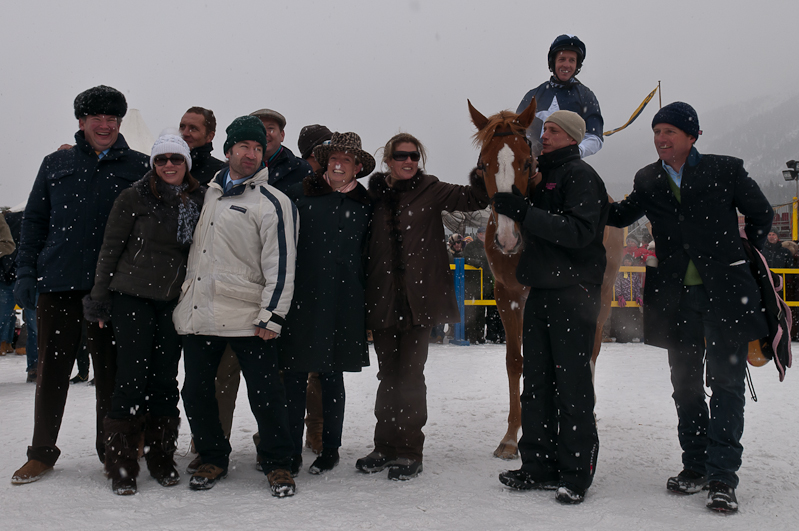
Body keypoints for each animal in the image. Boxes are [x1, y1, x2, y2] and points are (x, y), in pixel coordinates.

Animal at [468, 97, 624, 460]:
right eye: (484, 164)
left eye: (527, 163)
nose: (508, 239)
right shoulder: (507, 295)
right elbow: (516, 362)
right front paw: (511, 437)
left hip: (600, 296)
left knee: (591, 350)